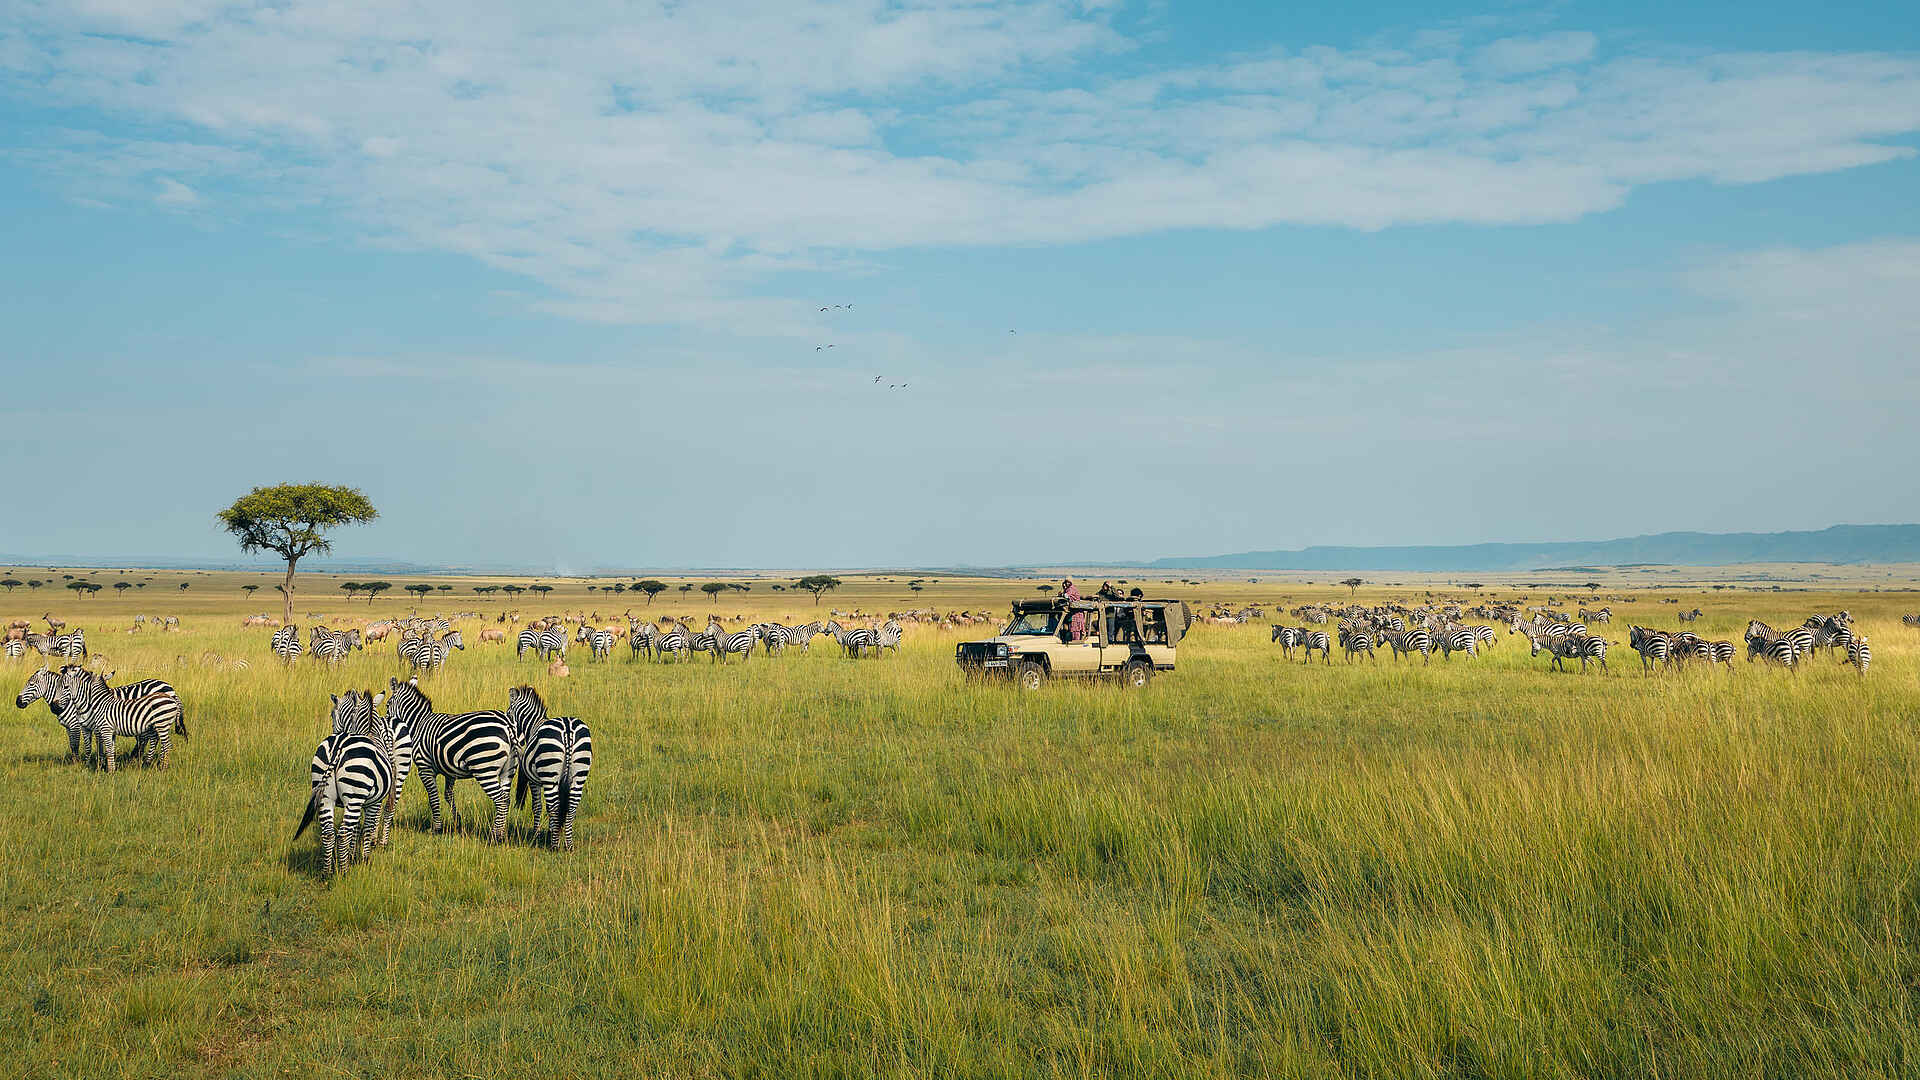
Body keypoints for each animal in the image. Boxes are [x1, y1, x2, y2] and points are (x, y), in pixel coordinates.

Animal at [59, 666, 187, 772]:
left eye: (65, 686)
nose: (57, 705)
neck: (100, 702)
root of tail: (172, 697)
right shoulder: (106, 731)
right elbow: (109, 749)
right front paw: (109, 767)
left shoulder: (103, 729)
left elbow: (104, 749)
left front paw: (107, 770)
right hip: (158, 725)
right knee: (159, 743)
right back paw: (153, 763)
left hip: (161, 724)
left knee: (166, 745)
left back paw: (161, 768)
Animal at [296, 689, 397, 878]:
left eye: (332, 715)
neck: (368, 732)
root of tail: (338, 746)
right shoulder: (374, 802)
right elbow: (367, 828)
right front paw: (363, 859)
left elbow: (355, 829)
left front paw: (350, 855)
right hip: (354, 795)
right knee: (342, 834)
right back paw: (344, 873)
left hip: (325, 794)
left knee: (329, 833)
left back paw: (327, 873)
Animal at [385, 677, 515, 842]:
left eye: (387, 705)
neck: (418, 724)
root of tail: (507, 726)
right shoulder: (450, 771)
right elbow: (448, 795)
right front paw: (458, 822)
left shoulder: (425, 768)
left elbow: (433, 798)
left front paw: (437, 828)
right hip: (508, 769)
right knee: (507, 798)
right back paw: (502, 834)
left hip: (484, 768)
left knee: (501, 800)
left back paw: (494, 836)